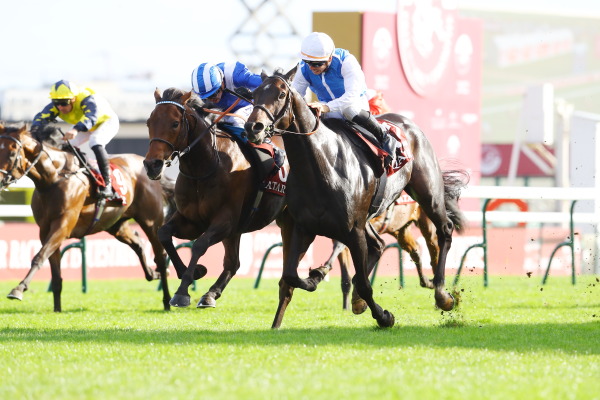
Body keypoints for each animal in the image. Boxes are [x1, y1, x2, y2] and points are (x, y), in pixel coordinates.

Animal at [0, 123, 173, 310]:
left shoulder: (63, 225)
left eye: (12, 153)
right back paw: (152, 273)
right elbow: (55, 272)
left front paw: (18, 289)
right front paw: (57, 310)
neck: (52, 179)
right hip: (115, 224)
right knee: (137, 243)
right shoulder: (45, 229)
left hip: (151, 222)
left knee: (160, 256)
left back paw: (166, 299)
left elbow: (40, 256)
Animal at [143, 88, 288, 310]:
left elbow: (200, 245)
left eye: (175, 123)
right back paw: (210, 294)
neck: (205, 166)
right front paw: (195, 272)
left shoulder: (226, 220)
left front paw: (182, 292)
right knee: (233, 263)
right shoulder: (192, 221)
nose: (152, 165)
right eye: (149, 122)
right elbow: (164, 233)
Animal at [245, 66, 468, 328]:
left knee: (444, 230)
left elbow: (363, 283)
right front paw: (315, 277)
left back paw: (443, 295)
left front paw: (384, 316)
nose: (254, 127)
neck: (321, 166)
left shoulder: (353, 230)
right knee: (379, 245)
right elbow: (290, 275)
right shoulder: (303, 227)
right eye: (254, 94)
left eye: (281, 94)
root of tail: (409, 125)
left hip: (427, 193)